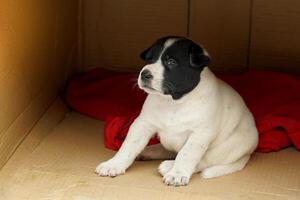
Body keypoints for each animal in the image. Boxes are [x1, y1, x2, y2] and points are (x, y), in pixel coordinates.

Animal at [95, 36, 258, 188]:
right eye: (149, 59)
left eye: (171, 62)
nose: (144, 73)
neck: (174, 102)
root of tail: (249, 153)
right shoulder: (143, 124)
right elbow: (128, 146)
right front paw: (114, 164)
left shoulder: (199, 134)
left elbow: (186, 155)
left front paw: (176, 174)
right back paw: (147, 151)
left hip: (228, 147)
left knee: (203, 160)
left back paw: (168, 166)